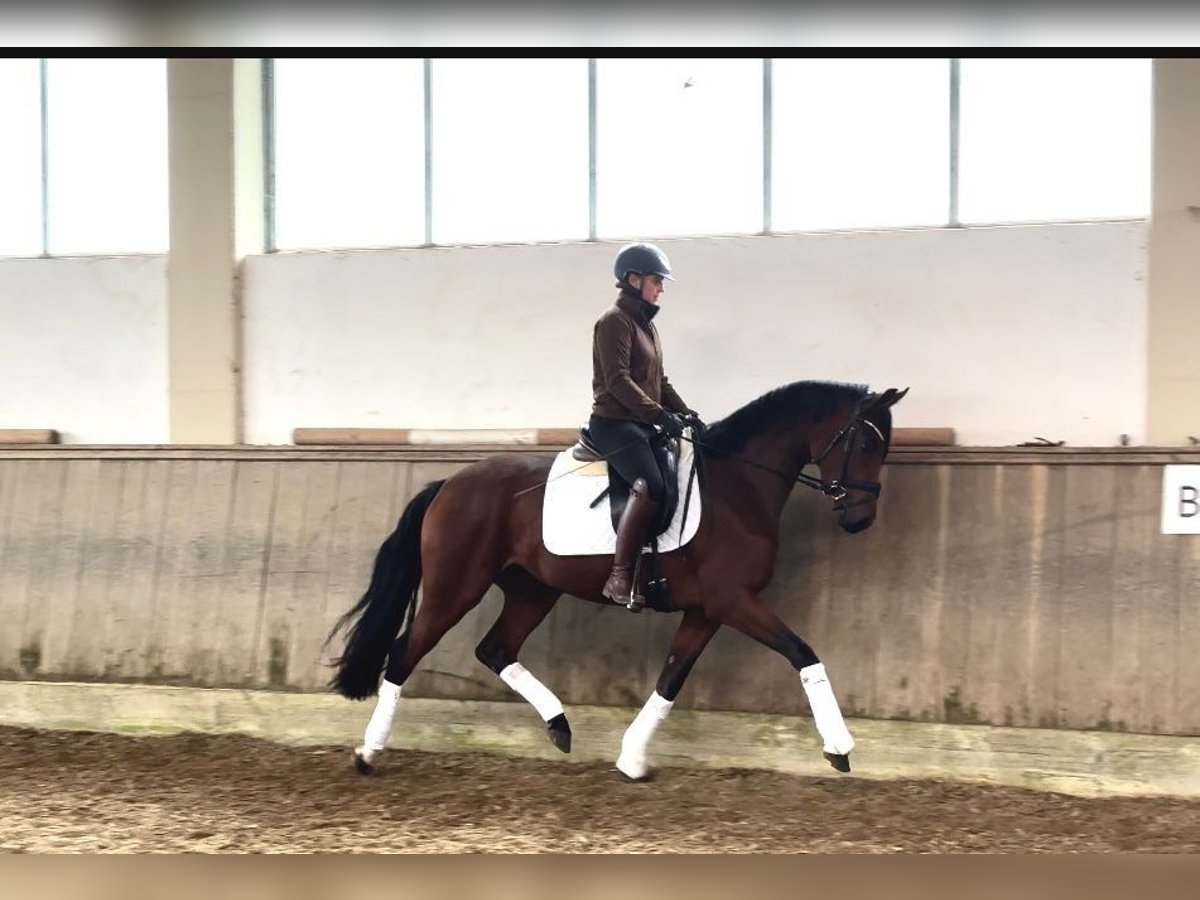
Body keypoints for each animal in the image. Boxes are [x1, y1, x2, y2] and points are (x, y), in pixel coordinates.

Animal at [324, 381, 902, 782]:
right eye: (865, 446)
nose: (860, 519)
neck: (738, 486)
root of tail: (450, 483)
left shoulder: (706, 611)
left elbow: (670, 680)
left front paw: (631, 759)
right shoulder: (734, 601)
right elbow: (804, 653)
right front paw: (840, 749)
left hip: (533, 590)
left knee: (495, 648)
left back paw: (559, 725)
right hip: (455, 588)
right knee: (405, 653)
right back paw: (368, 752)